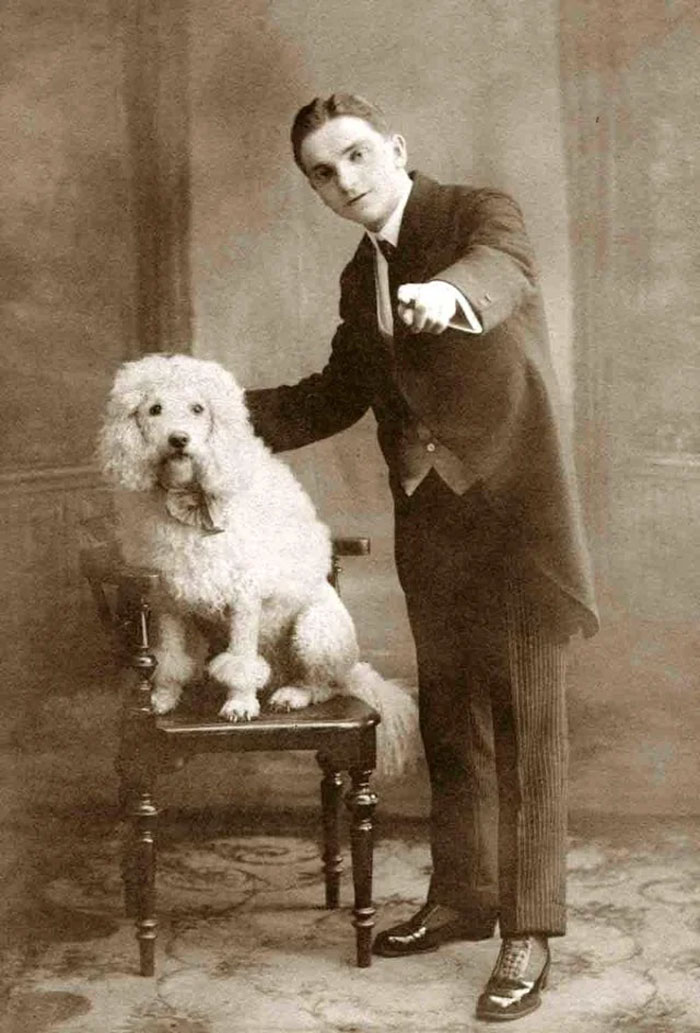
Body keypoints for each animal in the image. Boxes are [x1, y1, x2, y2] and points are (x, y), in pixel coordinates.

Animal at [98, 355, 417, 776]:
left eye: (198, 409)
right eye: (154, 409)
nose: (179, 439)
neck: (192, 500)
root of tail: (352, 670)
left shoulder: (244, 597)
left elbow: (243, 658)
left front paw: (239, 703)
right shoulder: (166, 597)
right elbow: (168, 655)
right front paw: (163, 698)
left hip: (316, 632)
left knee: (322, 684)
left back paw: (292, 695)